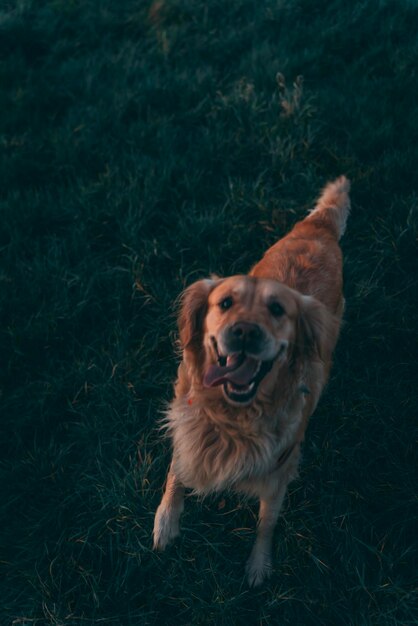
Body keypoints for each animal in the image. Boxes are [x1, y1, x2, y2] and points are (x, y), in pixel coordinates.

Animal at [153, 176, 350, 584]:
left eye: (277, 309)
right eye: (225, 303)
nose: (245, 331)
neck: (230, 420)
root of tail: (320, 226)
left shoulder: (280, 470)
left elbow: (266, 523)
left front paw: (259, 564)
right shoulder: (185, 419)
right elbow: (176, 469)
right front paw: (165, 521)